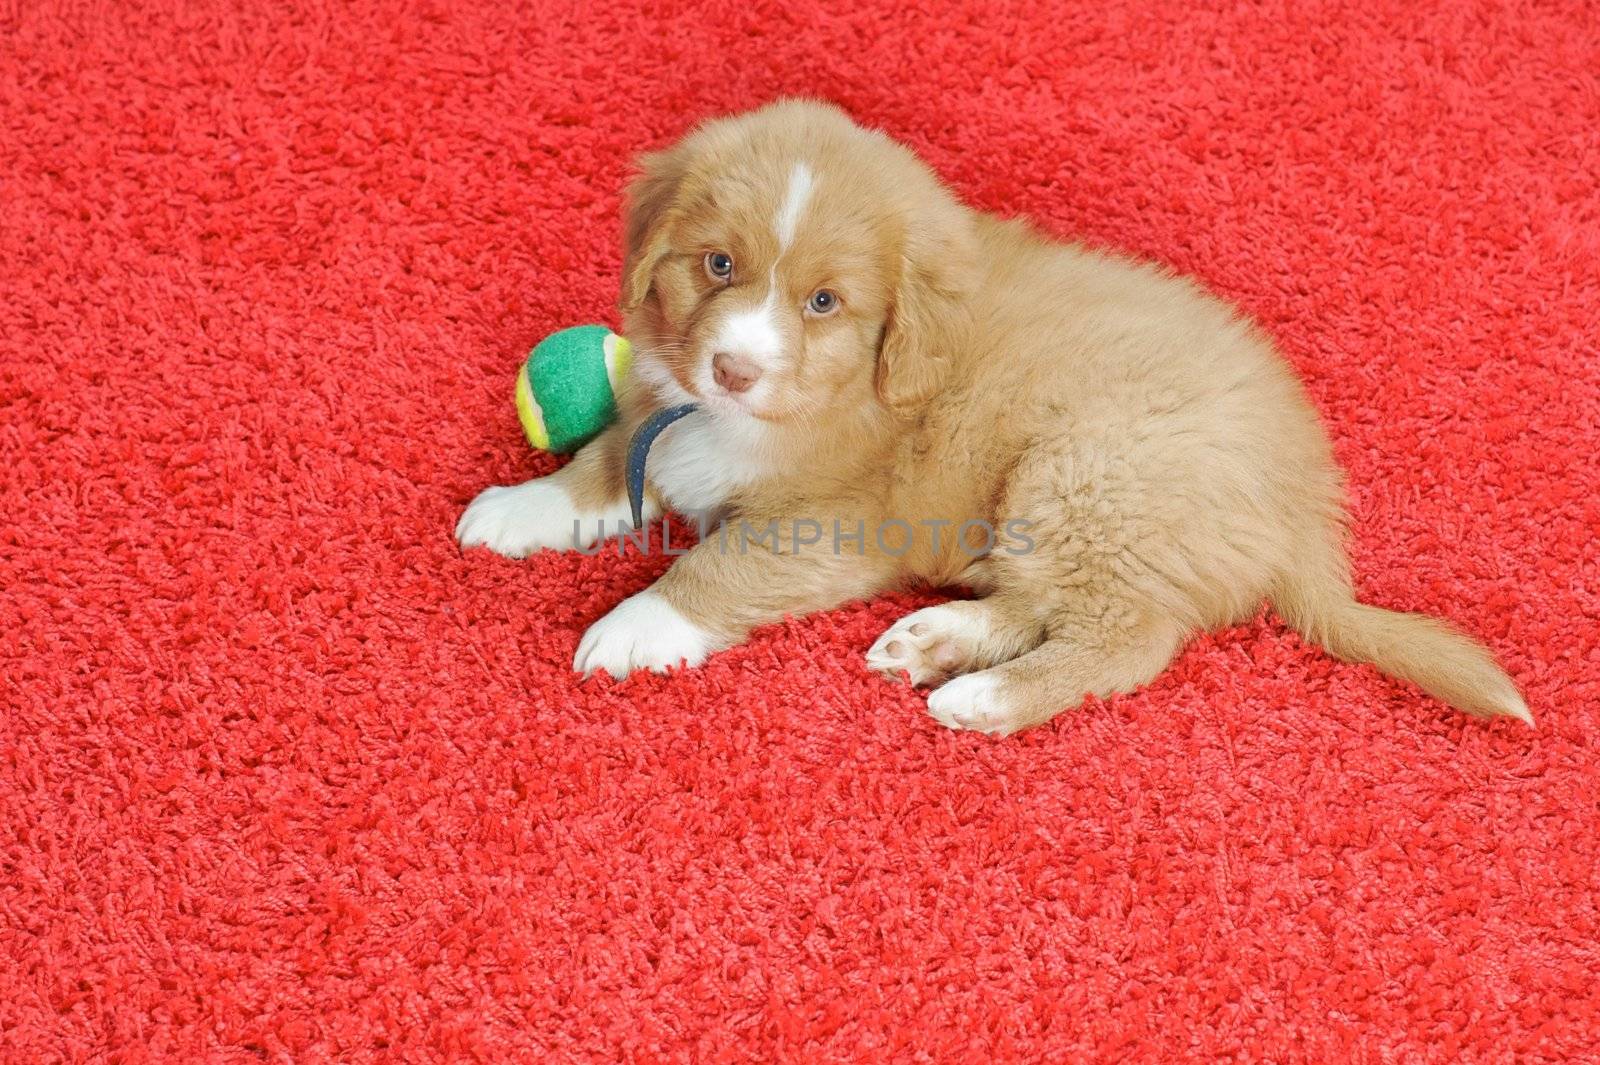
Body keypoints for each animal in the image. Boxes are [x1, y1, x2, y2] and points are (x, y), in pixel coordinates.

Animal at [457, 97, 1529, 729]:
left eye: (824, 302)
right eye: (718, 264)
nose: (730, 368)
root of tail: (1309, 500)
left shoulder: (837, 524)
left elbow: (722, 559)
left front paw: (637, 624)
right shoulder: (662, 407)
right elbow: (612, 455)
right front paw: (523, 505)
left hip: (1088, 473)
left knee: (1126, 637)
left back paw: (983, 692)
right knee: (1045, 600)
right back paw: (937, 640)